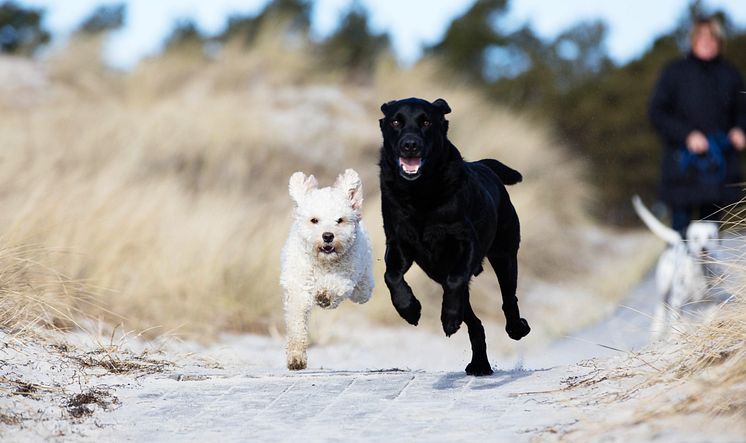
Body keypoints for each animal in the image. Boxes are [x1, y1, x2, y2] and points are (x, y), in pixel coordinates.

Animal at [278, 170, 374, 372]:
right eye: (314, 220)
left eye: (340, 220)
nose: (328, 236)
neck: (323, 262)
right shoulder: (298, 288)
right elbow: (297, 323)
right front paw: (296, 358)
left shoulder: (345, 276)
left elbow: (334, 283)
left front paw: (324, 294)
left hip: (364, 286)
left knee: (362, 292)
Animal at [378, 98, 528, 378]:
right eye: (396, 121)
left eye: (426, 121)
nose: (410, 144)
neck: (419, 195)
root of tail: (483, 164)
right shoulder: (398, 242)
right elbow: (391, 276)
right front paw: (410, 309)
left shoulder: (465, 242)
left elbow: (456, 280)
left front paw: (448, 318)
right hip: (438, 272)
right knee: (475, 323)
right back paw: (479, 364)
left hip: (505, 254)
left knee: (508, 298)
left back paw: (517, 328)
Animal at [632, 195, 716, 340]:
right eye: (695, 238)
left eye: (710, 237)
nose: (704, 249)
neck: (697, 271)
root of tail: (677, 240)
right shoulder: (678, 302)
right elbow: (676, 322)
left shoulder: (708, 299)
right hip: (664, 289)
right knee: (661, 309)